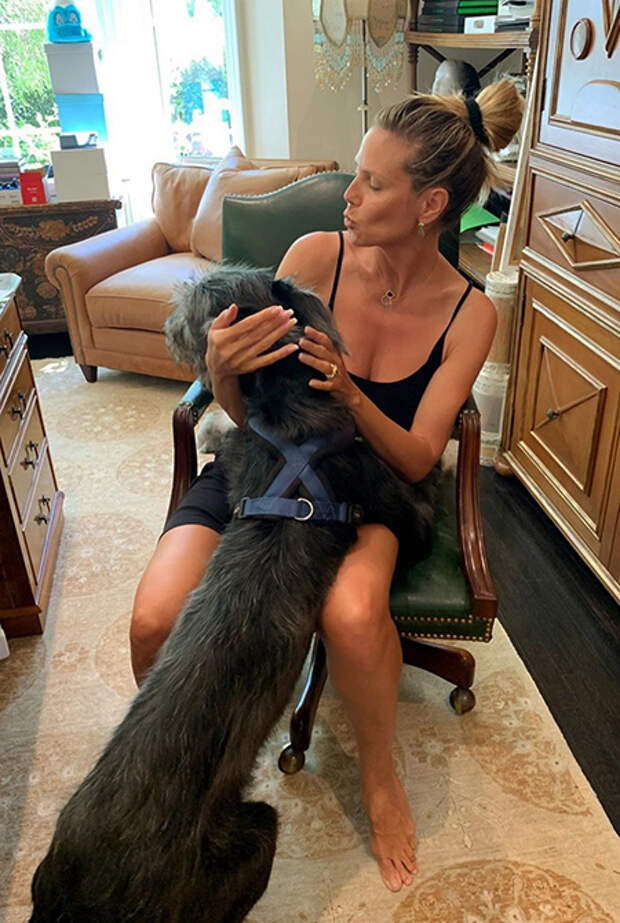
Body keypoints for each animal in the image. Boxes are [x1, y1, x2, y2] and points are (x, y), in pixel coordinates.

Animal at [30, 266, 439, 923]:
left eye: (203, 297)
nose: (168, 328)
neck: (289, 410)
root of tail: (74, 897)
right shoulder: (395, 505)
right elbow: (422, 499)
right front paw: (440, 473)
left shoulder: (245, 452)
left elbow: (227, 433)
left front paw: (213, 430)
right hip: (248, 840)